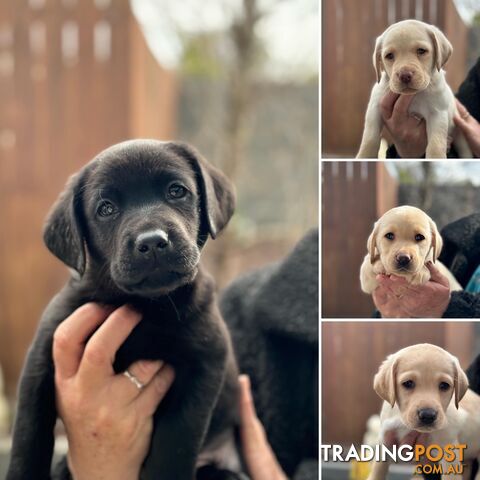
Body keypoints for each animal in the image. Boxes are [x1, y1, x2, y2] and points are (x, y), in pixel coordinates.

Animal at [8, 140, 244, 480]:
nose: (153, 241)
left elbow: (175, 445)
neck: (147, 304)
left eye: (177, 191)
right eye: (106, 208)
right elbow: (29, 434)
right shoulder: (41, 357)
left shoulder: (204, 365)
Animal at [356, 19, 472, 158]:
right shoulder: (375, 107)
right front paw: (363, 156)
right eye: (389, 56)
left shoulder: (437, 114)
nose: (404, 75)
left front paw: (436, 157)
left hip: (460, 135)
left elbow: (436, 144)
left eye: (421, 51)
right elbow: (370, 138)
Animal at [370, 344, 480, 480]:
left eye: (444, 385)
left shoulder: (449, 451)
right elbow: (376, 472)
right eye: (408, 383)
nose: (428, 416)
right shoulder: (385, 443)